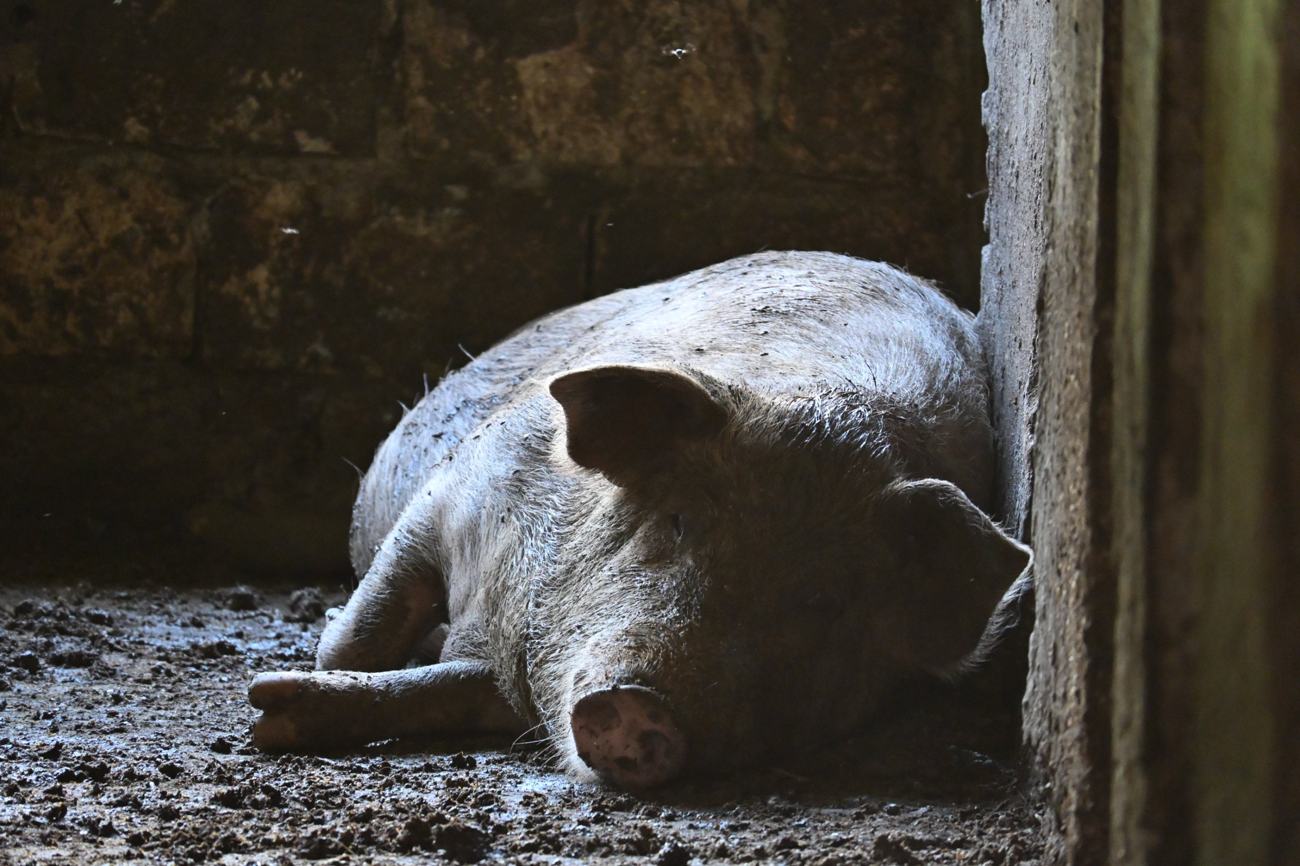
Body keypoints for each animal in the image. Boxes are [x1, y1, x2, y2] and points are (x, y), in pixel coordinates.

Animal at [249, 250, 1031, 789]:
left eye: (823, 603)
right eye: (678, 520)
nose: (638, 706)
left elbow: (439, 690)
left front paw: (276, 708)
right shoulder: (456, 486)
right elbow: (363, 634)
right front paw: (276, 695)